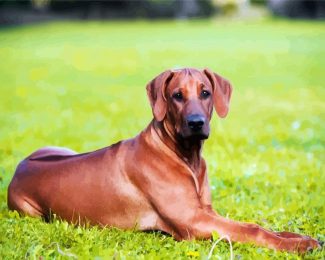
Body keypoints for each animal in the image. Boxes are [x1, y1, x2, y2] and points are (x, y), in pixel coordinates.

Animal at [6, 67, 318, 252]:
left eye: (205, 92)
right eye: (177, 95)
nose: (196, 123)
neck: (185, 156)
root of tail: (19, 167)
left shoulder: (207, 211)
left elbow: (263, 225)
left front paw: (299, 238)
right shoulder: (194, 220)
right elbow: (252, 228)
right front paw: (295, 246)